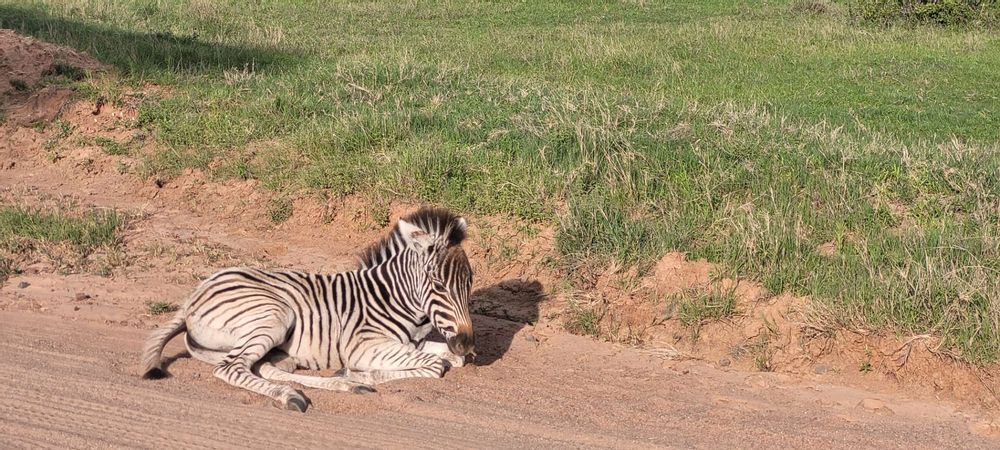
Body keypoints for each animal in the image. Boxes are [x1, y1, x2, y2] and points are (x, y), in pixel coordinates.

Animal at [140, 208, 475, 412]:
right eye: (438, 285)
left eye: (469, 281)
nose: (466, 342)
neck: (393, 298)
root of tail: (194, 296)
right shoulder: (362, 346)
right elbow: (437, 366)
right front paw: (360, 372)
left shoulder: (414, 342)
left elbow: (453, 361)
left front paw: (355, 376)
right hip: (274, 316)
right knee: (231, 368)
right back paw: (295, 395)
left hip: (276, 346)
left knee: (264, 367)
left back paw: (344, 385)